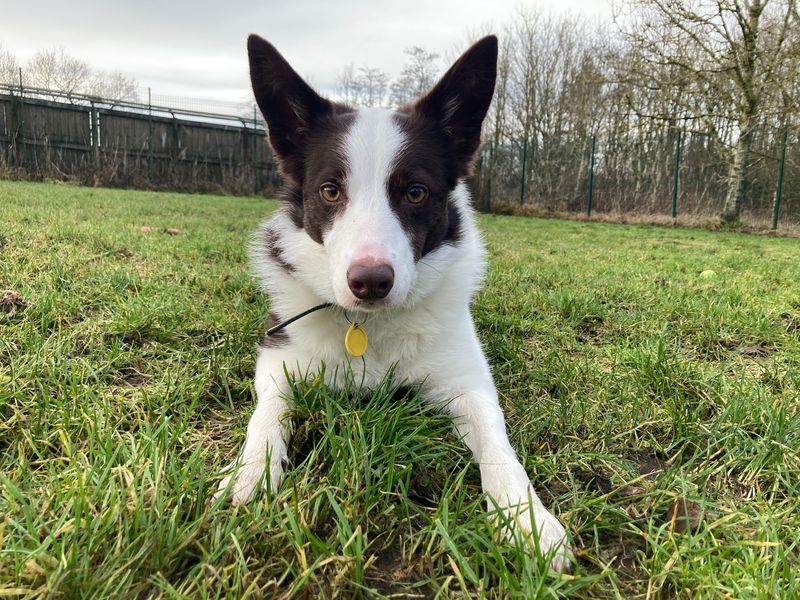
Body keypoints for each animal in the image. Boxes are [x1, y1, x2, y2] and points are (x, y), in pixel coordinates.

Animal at [216, 34, 572, 572]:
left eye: (416, 192)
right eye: (330, 190)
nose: (370, 282)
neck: (368, 327)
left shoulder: (469, 384)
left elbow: (498, 443)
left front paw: (526, 516)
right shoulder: (279, 358)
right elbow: (268, 413)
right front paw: (251, 472)